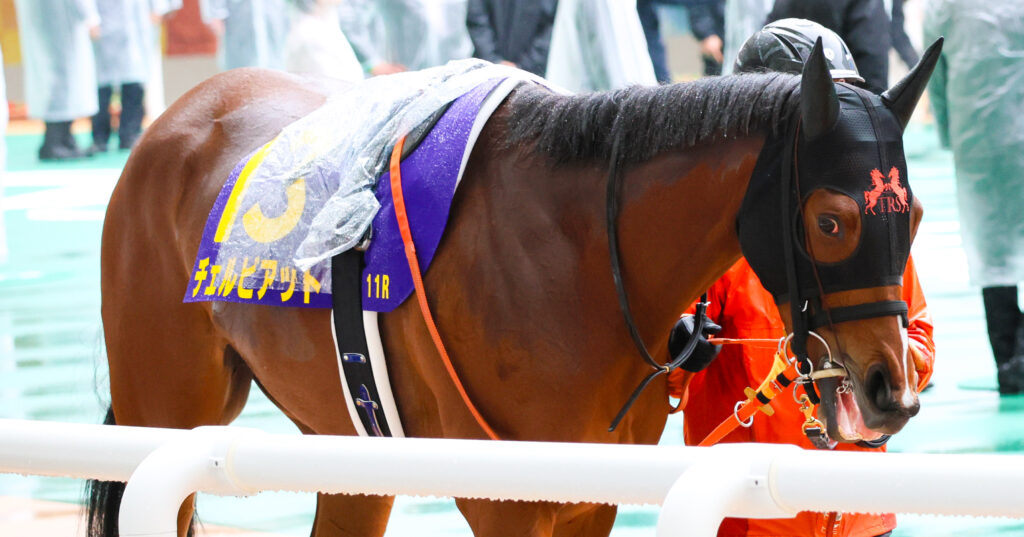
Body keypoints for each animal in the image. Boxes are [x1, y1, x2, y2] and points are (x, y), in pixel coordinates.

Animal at [87, 40, 940, 537]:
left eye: (915, 213)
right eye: (831, 220)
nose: (890, 387)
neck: (580, 257)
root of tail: (176, 120)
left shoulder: (589, 494)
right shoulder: (505, 495)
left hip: (346, 438)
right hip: (166, 404)